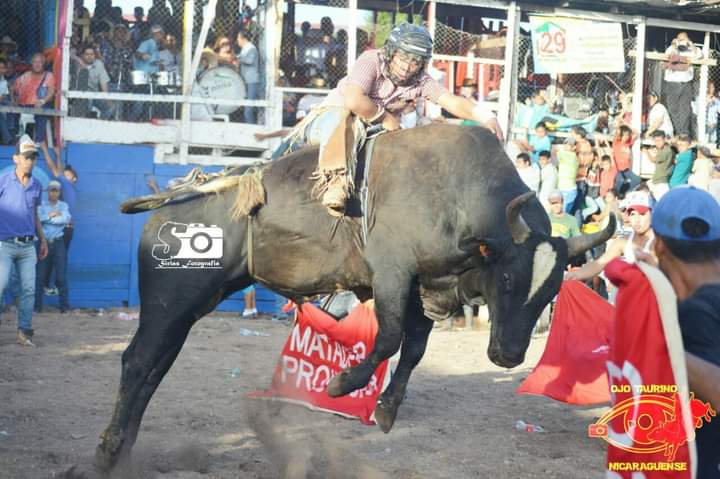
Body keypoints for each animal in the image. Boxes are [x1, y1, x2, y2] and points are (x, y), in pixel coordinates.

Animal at [83, 124, 612, 476]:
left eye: (552, 290)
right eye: (506, 276)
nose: (508, 355)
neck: (454, 194)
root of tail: (170, 200)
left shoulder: (423, 290)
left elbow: (413, 349)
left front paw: (386, 408)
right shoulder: (393, 275)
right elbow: (391, 337)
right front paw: (340, 385)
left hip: (189, 307)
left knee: (154, 368)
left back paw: (122, 452)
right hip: (169, 302)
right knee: (138, 362)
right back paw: (109, 451)